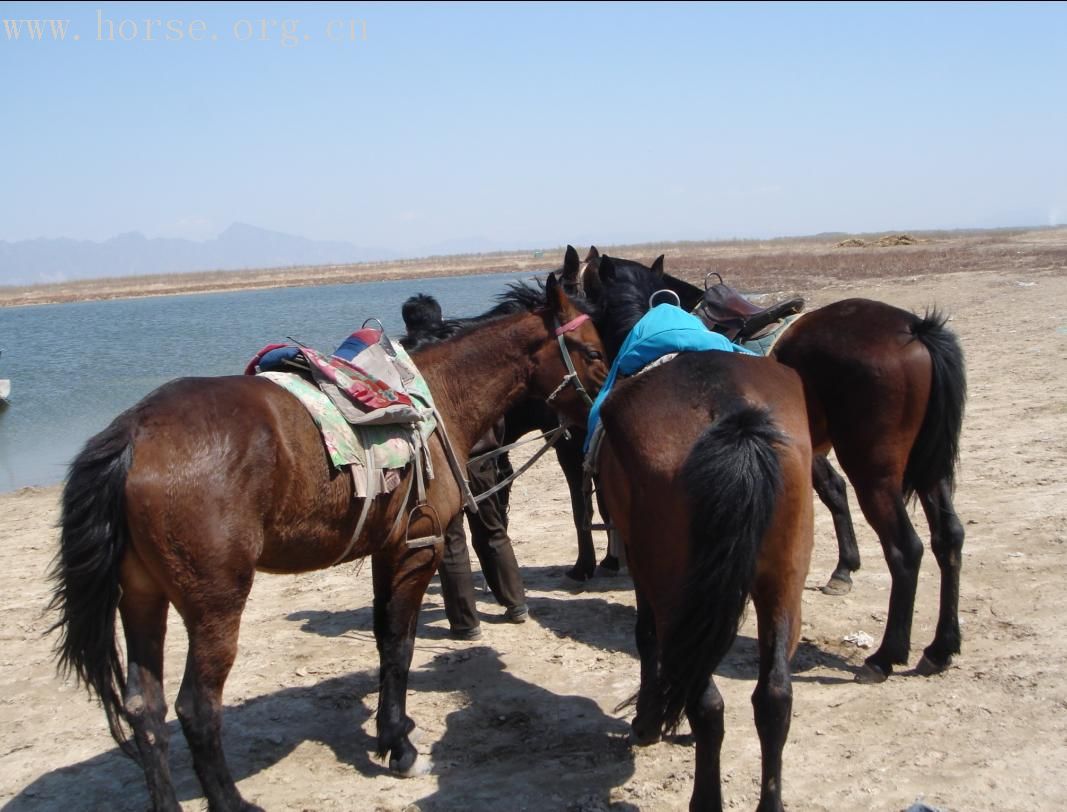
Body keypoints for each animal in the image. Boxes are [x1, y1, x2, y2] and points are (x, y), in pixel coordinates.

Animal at [48, 277, 610, 810]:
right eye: (592, 350)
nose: (605, 409)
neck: (436, 400)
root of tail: (134, 433)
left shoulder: (388, 551)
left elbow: (385, 639)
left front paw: (391, 733)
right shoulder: (417, 548)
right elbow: (400, 645)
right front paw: (400, 748)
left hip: (143, 599)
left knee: (146, 709)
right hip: (214, 607)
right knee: (196, 708)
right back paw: (232, 801)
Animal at [588, 267, 810, 810]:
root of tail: (733, 415)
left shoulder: (641, 564)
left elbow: (646, 638)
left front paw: (647, 721)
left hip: (675, 587)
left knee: (708, 701)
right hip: (784, 580)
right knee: (774, 697)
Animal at [593, 250, 968, 682]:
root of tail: (915, 329)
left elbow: (833, 493)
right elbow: (833, 492)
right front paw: (845, 569)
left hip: (874, 472)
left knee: (905, 549)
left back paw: (885, 656)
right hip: (930, 470)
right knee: (949, 537)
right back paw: (941, 648)